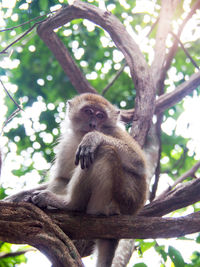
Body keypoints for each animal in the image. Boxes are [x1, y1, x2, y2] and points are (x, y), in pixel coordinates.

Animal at [5, 93, 147, 267]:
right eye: (88, 111)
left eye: (100, 116)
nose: (93, 124)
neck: (80, 136)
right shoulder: (67, 144)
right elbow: (62, 177)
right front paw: (17, 197)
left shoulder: (116, 132)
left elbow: (139, 163)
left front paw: (93, 137)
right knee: (61, 180)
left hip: (117, 200)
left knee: (105, 151)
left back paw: (70, 204)